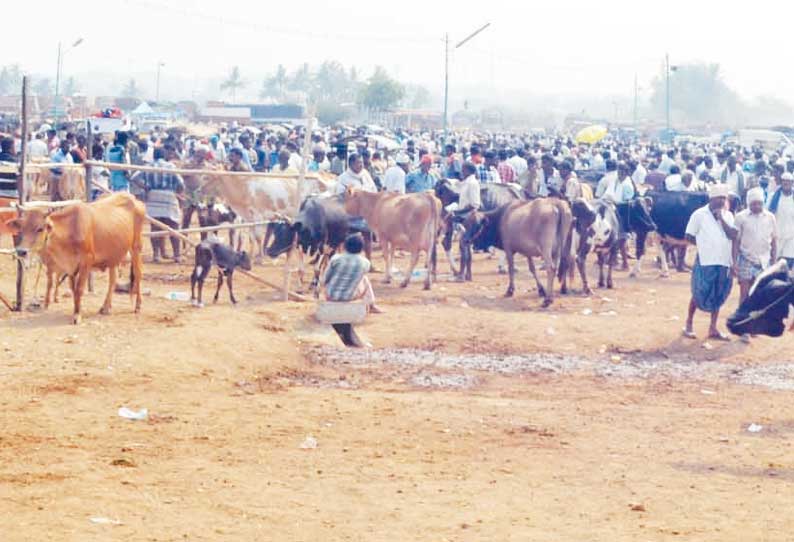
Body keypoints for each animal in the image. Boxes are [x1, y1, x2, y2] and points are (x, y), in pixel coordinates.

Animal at [5, 193, 145, 326]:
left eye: (40, 228)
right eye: (21, 228)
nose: (21, 251)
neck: (70, 230)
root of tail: (134, 199)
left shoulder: (86, 262)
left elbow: (79, 289)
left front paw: (77, 315)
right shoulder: (70, 267)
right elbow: (73, 289)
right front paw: (77, 310)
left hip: (136, 247)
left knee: (138, 274)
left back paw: (138, 306)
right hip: (113, 256)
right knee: (112, 280)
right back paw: (106, 307)